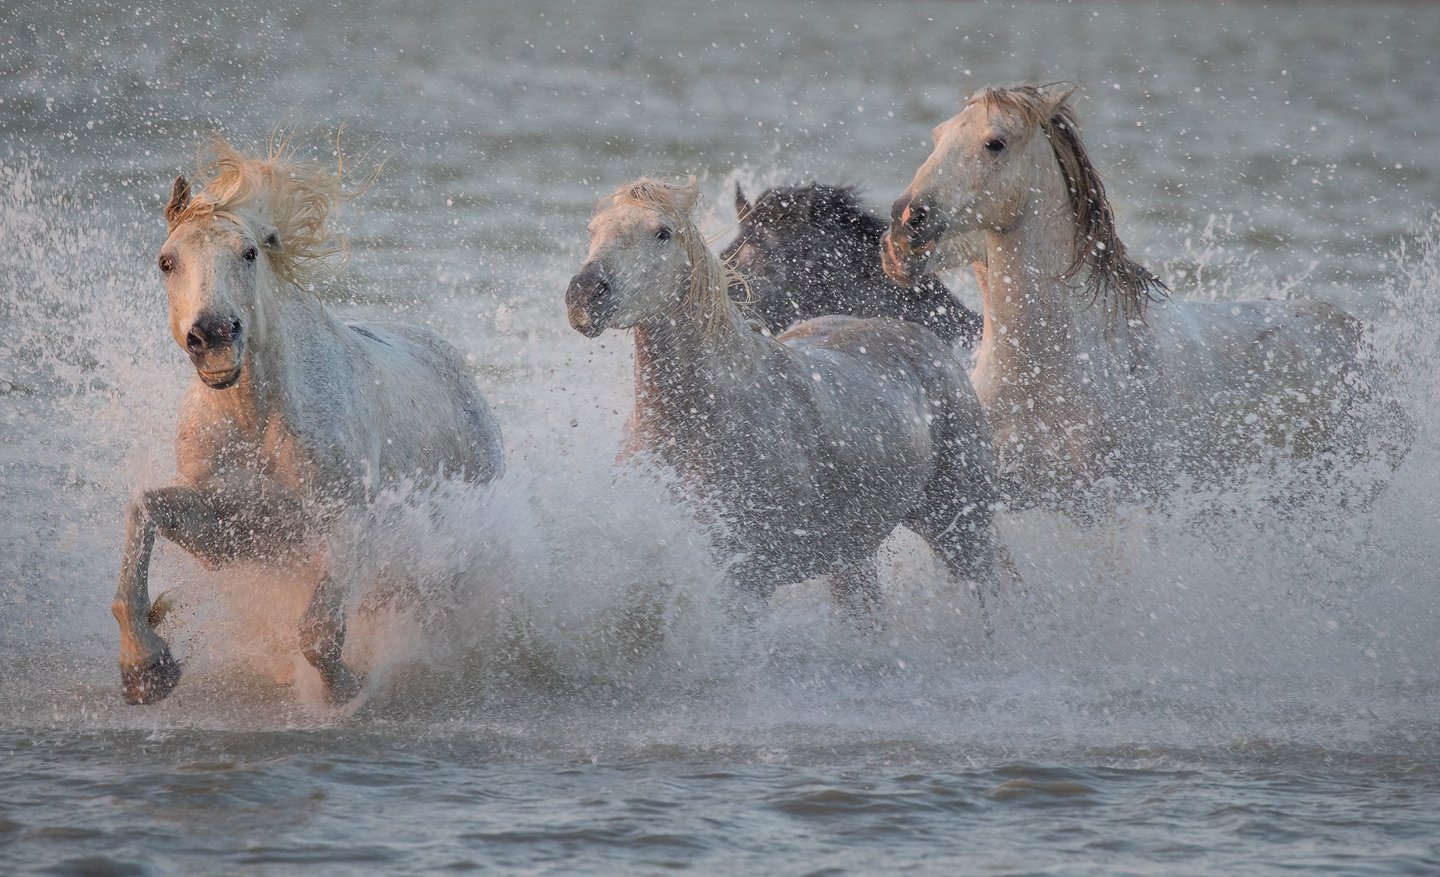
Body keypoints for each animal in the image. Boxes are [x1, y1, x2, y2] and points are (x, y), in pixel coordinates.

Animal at [112, 135, 504, 705]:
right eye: (166, 262)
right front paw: (146, 666)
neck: (257, 419)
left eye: (249, 253)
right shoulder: (232, 533)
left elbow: (319, 631)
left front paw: (345, 691)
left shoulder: (348, 522)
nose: (214, 336)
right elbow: (144, 509)